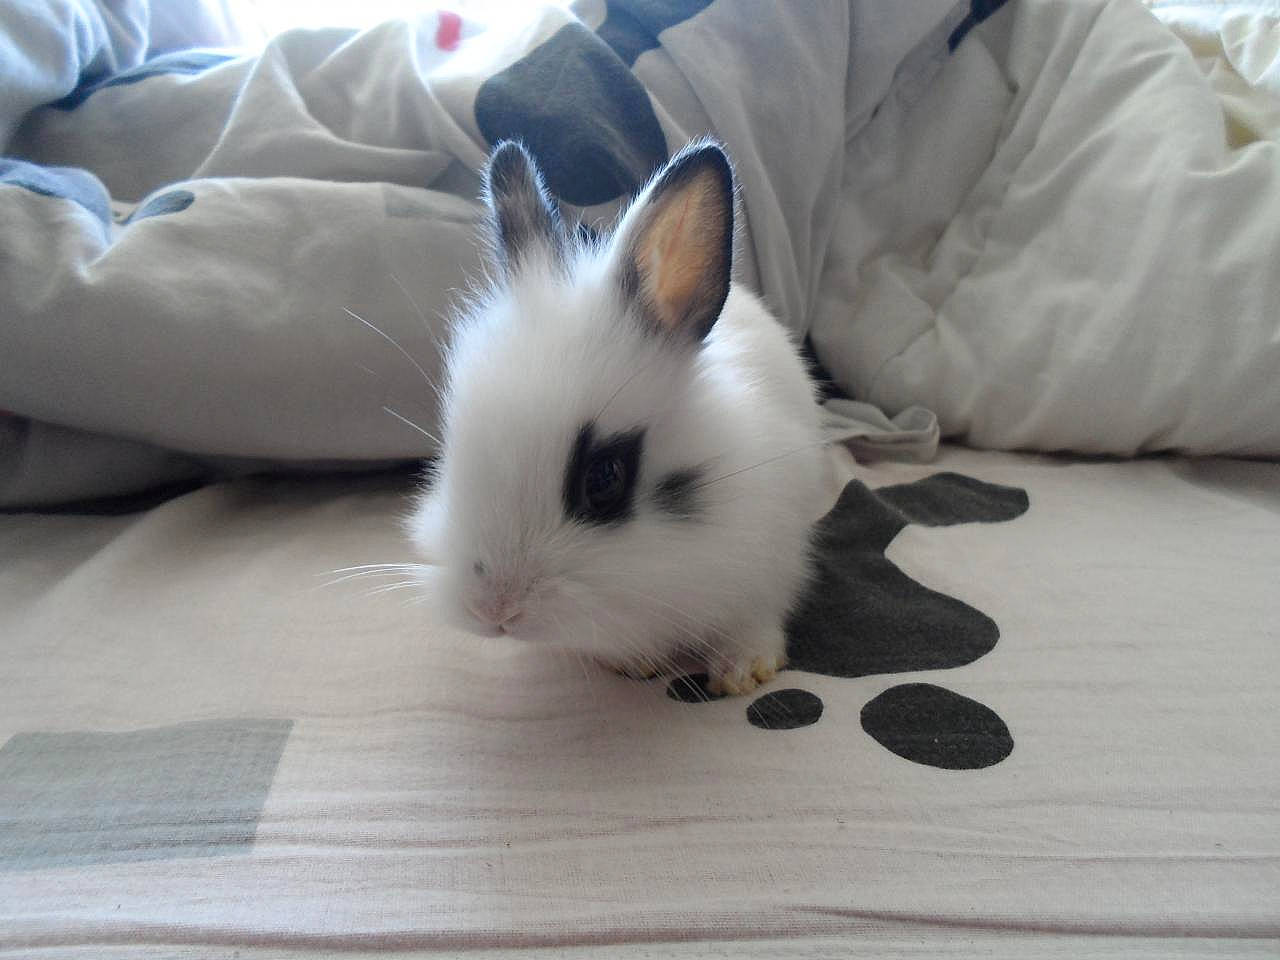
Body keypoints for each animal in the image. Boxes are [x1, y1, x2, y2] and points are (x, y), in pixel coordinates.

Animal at [408, 138, 828, 696]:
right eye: (449, 459)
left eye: (604, 477)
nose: (495, 610)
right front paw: (635, 662)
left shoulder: (772, 560)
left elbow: (753, 620)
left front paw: (743, 671)